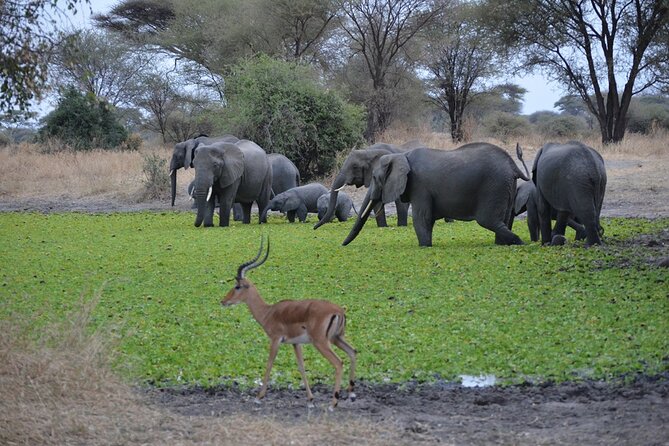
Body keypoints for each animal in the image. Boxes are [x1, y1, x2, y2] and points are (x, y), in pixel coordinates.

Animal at [220, 237, 354, 408]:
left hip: (321, 342)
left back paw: (333, 403)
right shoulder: (295, 343)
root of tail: (339, 311)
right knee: (353, 352)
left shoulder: (276, 339)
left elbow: (269, 363)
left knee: (339, 363)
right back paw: (351, 394)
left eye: (237, 286)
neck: (268, 312)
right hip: (337, 338)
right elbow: (301, 367)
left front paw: (258, 396)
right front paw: (310, 399)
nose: (223, 301)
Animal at [344, 143, 528, 247]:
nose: (342, 245)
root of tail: (513, 165)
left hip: (494, 185)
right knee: (504, 219)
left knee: (488, 220)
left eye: (375, 178)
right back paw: (505, 244)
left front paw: (425, 247)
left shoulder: (419, 186)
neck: (401, 155)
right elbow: (427, 220)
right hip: (506, 185)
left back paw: (521, 242)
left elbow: (421, 218)